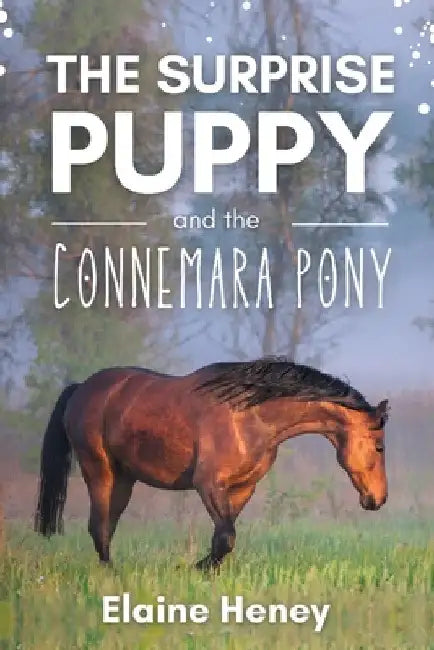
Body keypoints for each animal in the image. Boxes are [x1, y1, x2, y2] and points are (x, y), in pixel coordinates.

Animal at [34, 358, 389, 570]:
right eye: (379, 446)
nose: (378, 499)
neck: (249, 416)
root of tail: (81, 388)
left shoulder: (242, 488)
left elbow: (223, 537)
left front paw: (203, 570)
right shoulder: (208, 484)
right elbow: (226, 537)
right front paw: (193, 569)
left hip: (124, 479)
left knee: (106, 527)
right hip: (100, 471)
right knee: (99, 527)